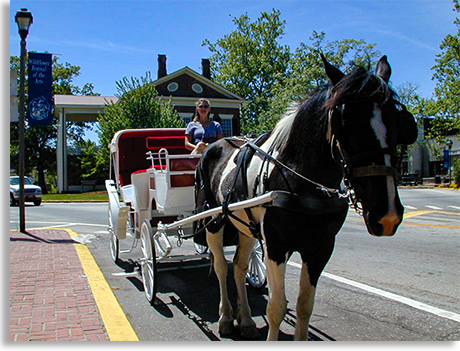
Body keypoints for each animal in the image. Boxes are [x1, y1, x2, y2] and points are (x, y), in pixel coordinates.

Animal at [196, 55, 418, 340]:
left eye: (398, 122)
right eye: (345, 124)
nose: (387, 215)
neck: (301, 180)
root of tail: (217, 144)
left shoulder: (321, 247)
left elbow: (304, 305)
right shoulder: (276, 245)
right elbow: (276, 307)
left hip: (244, 226)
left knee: (239, 266)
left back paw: (245, 320)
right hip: (214, 221)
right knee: (222, 267)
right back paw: (225, 318)